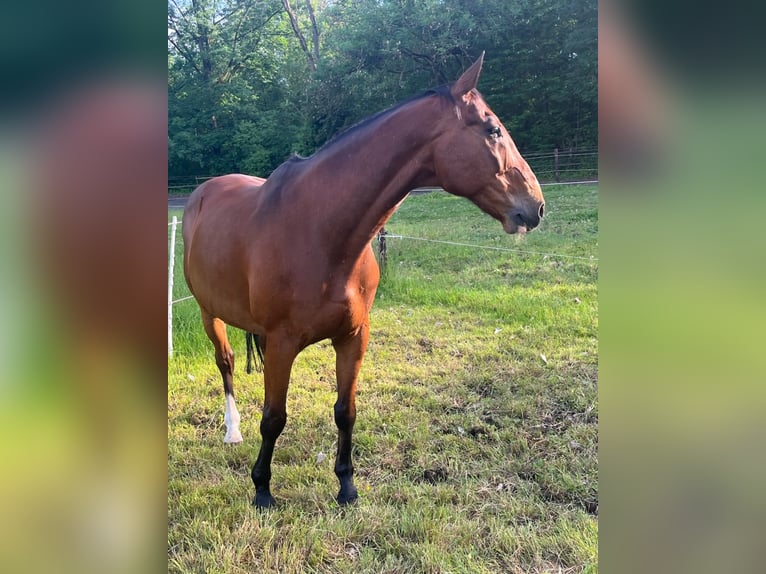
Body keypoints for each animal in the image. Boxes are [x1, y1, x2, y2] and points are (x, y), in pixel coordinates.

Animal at [182, 53, 545, 508]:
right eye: (493, 129)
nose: (536, 206)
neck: (321, 231)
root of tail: (201, 193)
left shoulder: (353, 336)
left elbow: (345, 411)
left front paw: (346, 485)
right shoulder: (282, 342)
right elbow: (274, 418)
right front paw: (262, 488)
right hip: (208, 312)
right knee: (227, 362)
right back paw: (232, 430)